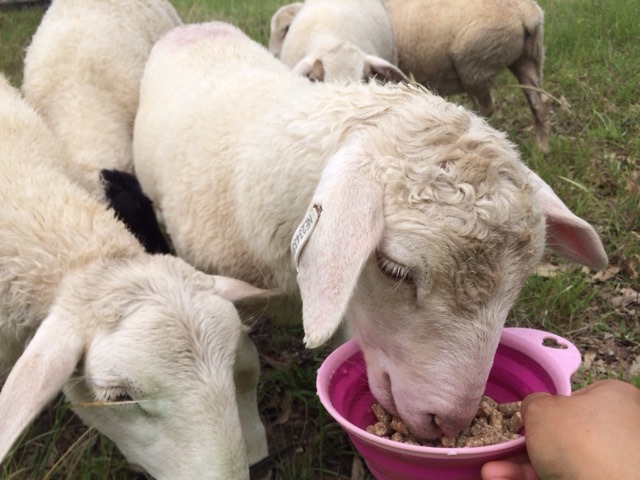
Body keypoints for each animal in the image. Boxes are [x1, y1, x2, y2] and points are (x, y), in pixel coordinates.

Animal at [385, 0, 549, 151]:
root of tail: (525, 12)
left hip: (475, 66)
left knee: (487, 108)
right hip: (530, 56)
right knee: (537, 102)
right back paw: (542, 146)